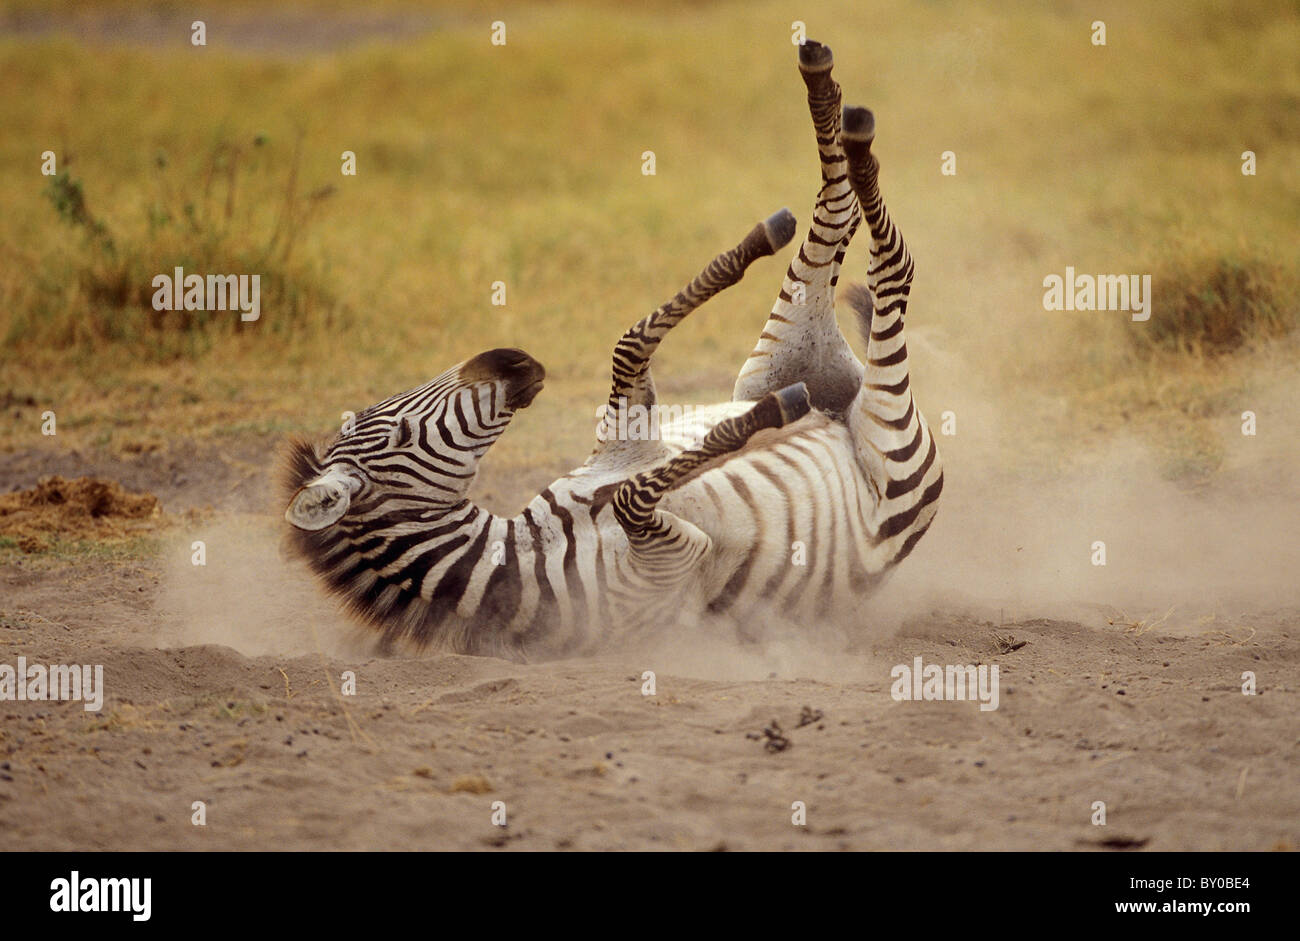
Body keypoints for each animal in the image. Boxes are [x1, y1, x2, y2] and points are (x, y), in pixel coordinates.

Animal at [282, 40, 946, 657]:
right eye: (398, 434)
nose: (514, 360)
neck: (526, 554)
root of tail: (844, 401)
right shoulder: (670, 557)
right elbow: (632, 495)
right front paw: (773, 414)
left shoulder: (629, 435)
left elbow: (628, 345)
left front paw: (755, 243)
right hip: (887, 439)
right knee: (893, 267)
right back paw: (853, 142)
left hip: (781, 352)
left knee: (836, 214)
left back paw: (827, 99)